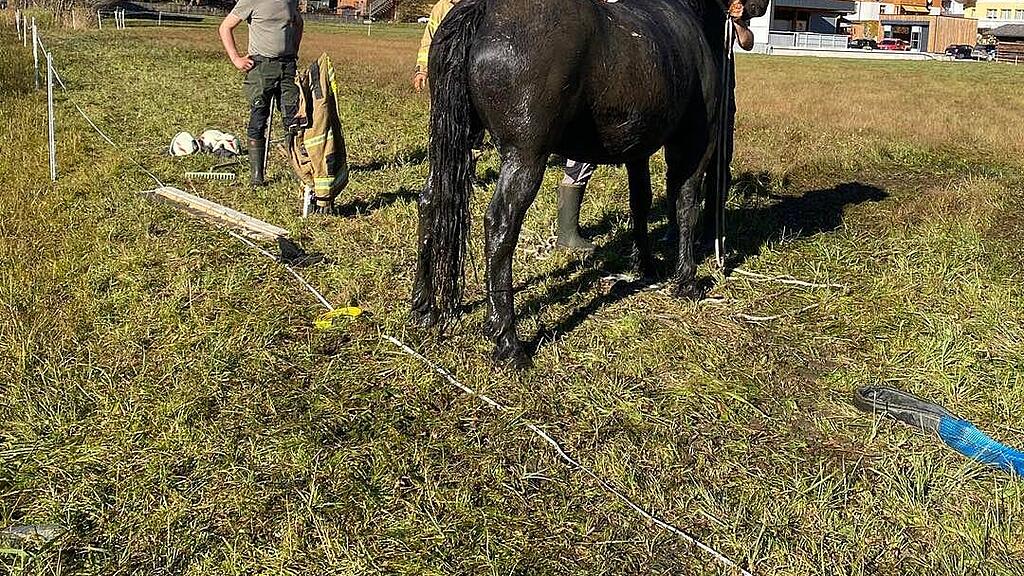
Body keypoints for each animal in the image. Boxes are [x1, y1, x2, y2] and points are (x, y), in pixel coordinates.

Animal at [412, 0, 769, 363]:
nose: (760, 7)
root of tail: (482, 10)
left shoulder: (636, 148)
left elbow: (640, 202)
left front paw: (646, 265)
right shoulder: (693, 144)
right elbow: (685, 205)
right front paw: (687, 281)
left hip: (455, 143)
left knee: (430, 202)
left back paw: (424, 309)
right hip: (525, 156)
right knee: (500, 224)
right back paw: (507, 340)